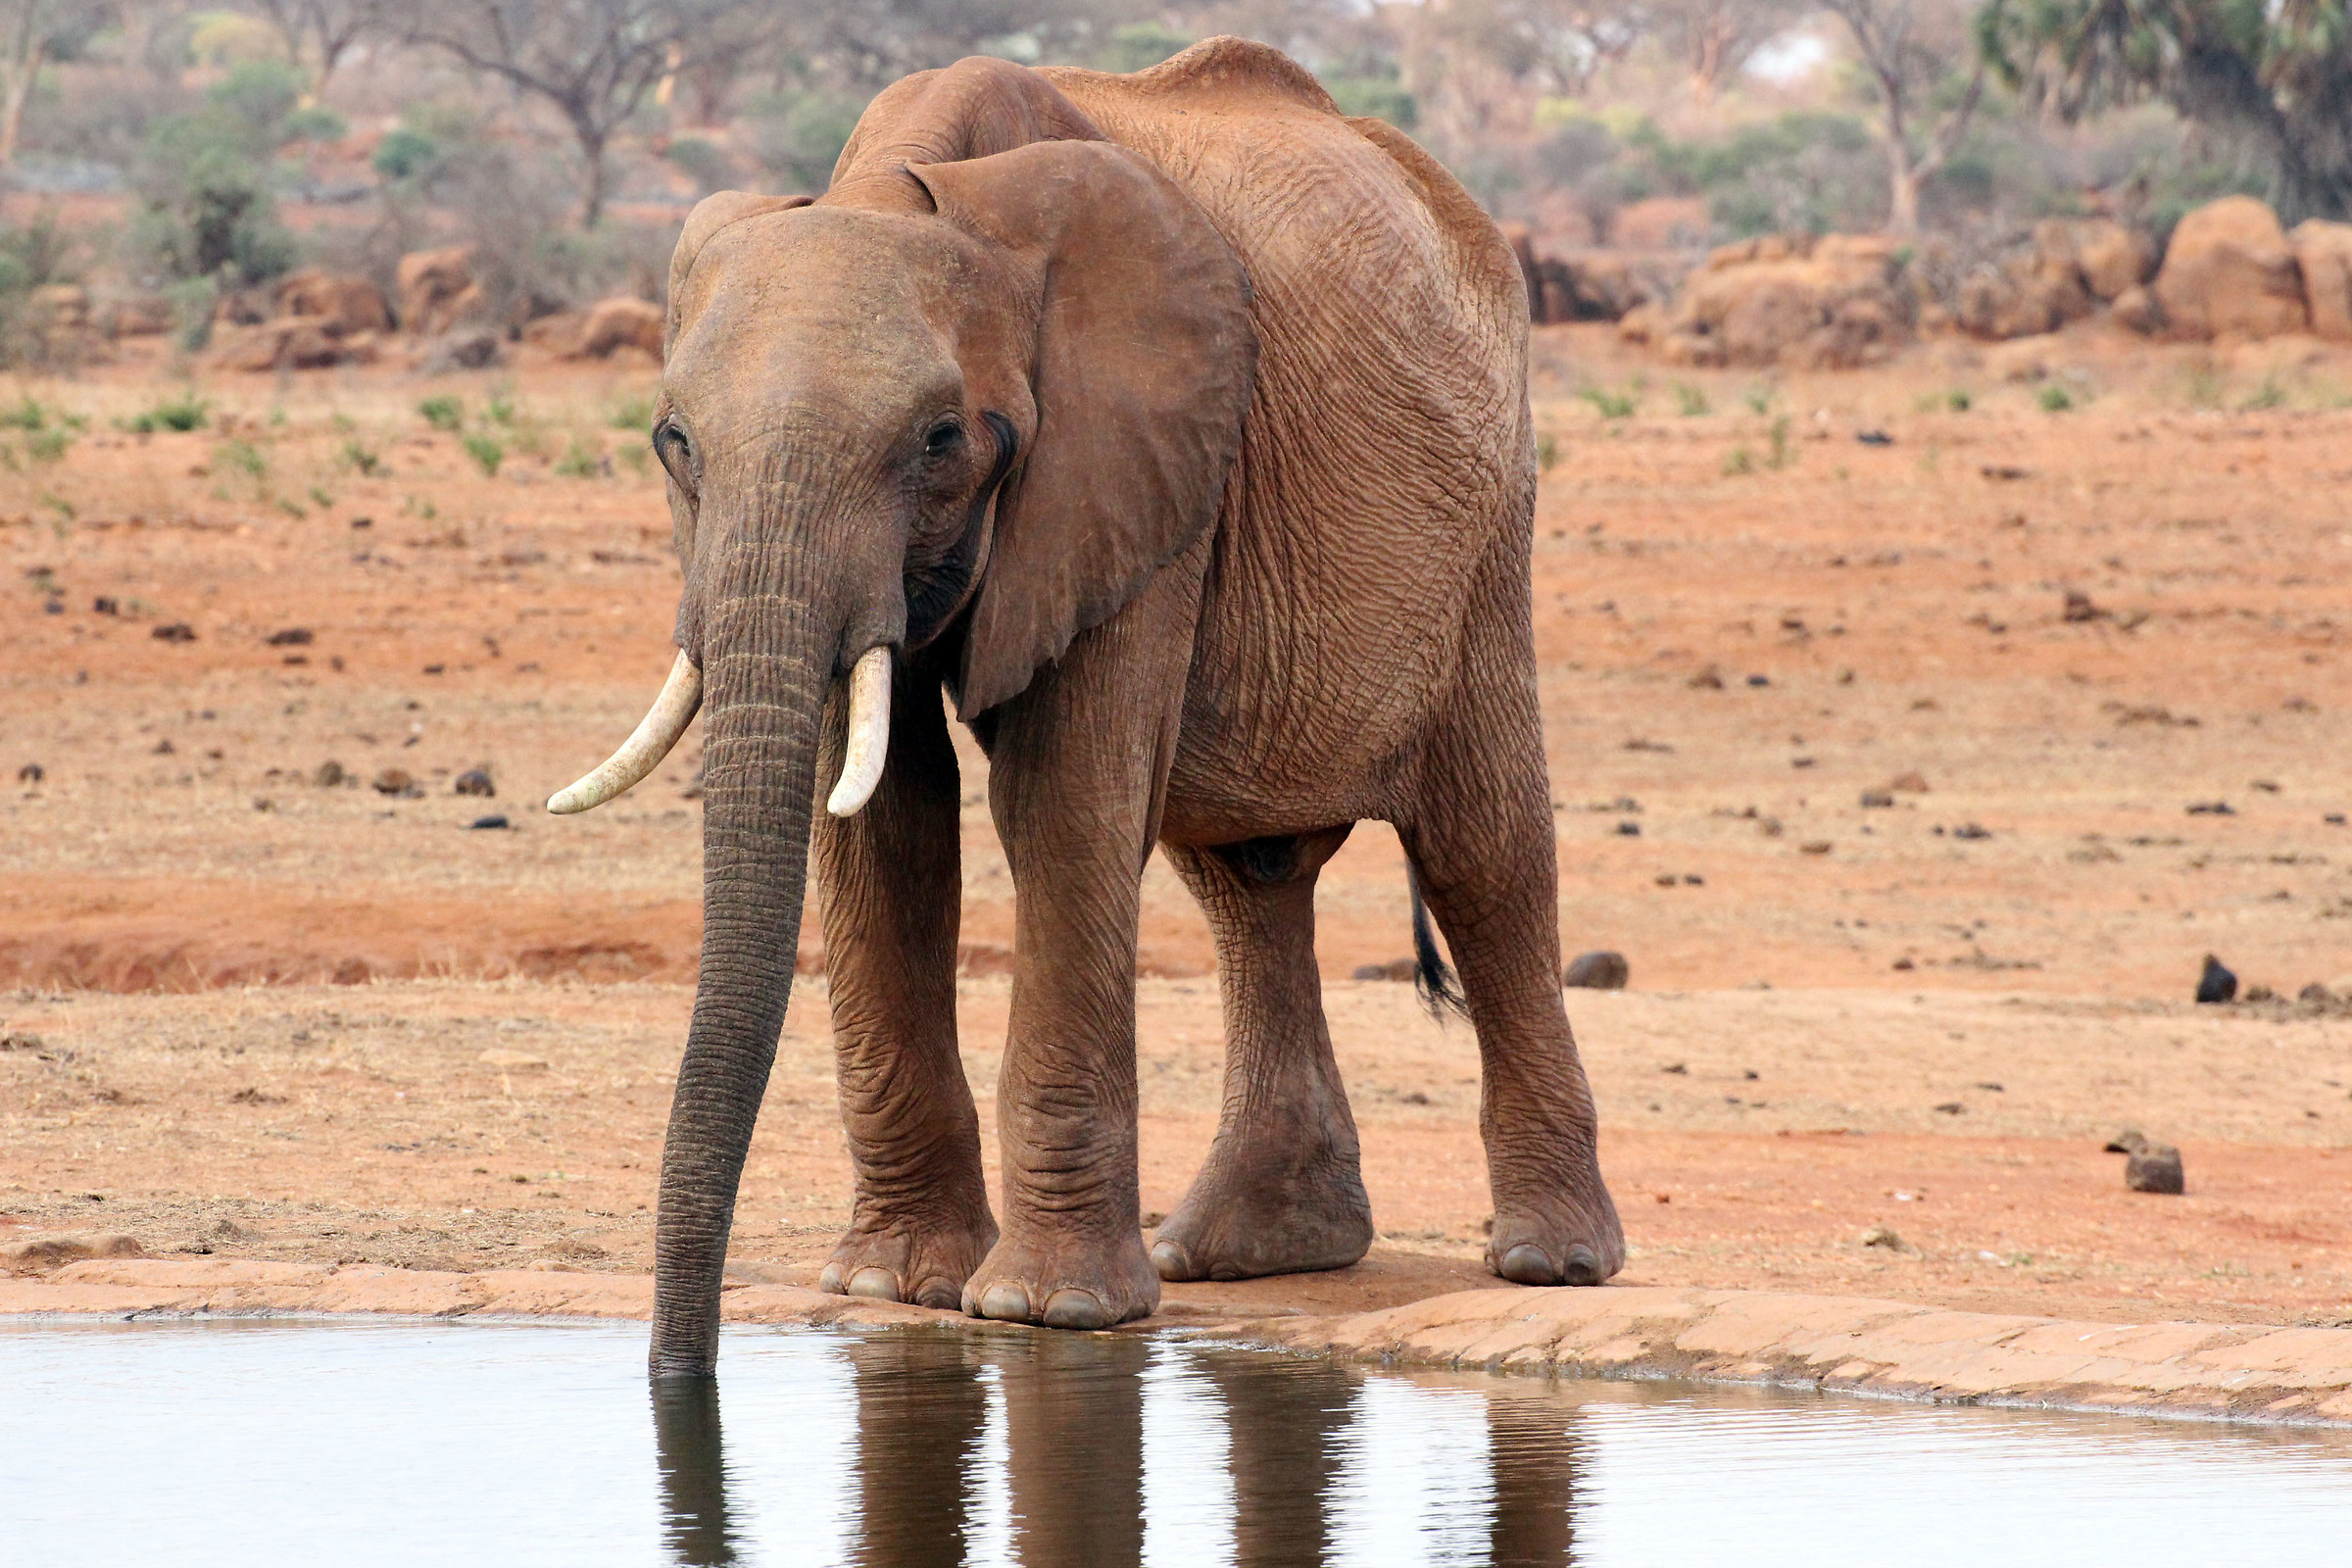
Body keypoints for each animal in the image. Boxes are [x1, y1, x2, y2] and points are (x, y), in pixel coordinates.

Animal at [551, 36, 1625, 1377]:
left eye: (941, 439)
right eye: (673, 441)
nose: (680, 1379)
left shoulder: (1139, 461)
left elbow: (1060, 799)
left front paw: (1044, 1312)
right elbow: (885, 818)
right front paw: (894, 1286)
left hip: (1486, 519)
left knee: (1485, 853)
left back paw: (1551, 1263)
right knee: (1245, 879)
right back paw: (1248, 1253)